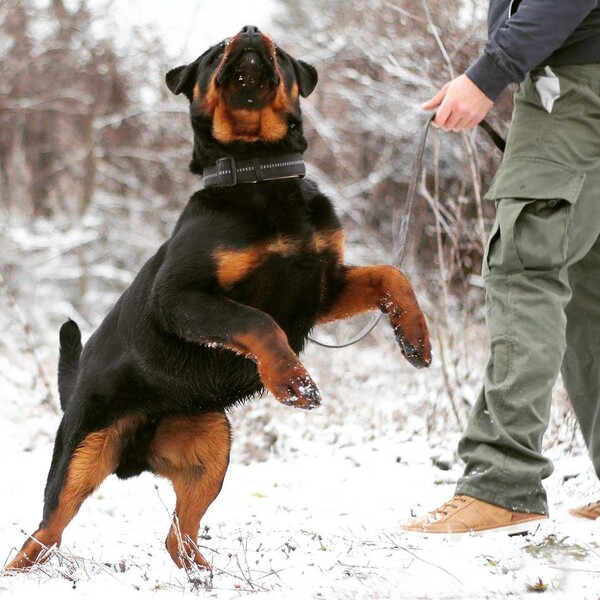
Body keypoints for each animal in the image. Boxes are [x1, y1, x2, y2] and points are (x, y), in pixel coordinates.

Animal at [8, 24, 432, 572]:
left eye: (281, 53)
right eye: (212, 55)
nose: (250, 32)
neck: (260, 171)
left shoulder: (323, 286)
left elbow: (392, 276)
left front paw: (416, 339)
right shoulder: (182, 297)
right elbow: (256, 322)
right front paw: (294, 381)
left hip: (210, 450)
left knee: (176, 537)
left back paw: (205, 577)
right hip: (80, 458)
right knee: (42, 535)